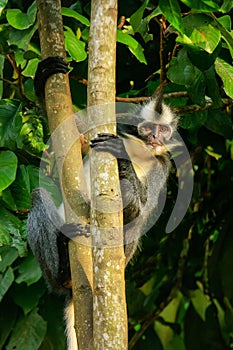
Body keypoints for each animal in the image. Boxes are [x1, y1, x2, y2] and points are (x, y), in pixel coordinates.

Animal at [26, 56, 178, 348]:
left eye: (164, 131)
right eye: (148, 129)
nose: (156, 138)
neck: (140, 150)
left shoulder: (163, 164)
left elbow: (142, 208)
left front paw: (122, 158)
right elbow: (72, 137)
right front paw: (42, 78)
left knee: (134, 211)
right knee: (38, 196)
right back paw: (63, 270)